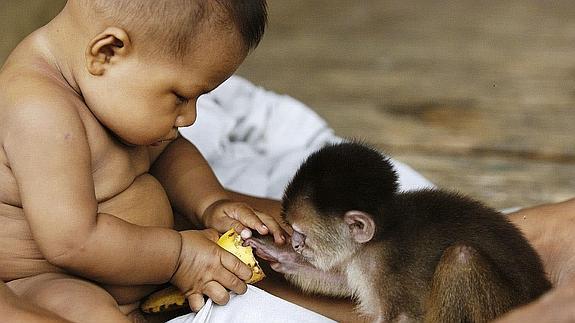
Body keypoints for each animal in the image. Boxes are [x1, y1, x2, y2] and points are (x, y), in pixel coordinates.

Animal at [248, 143, 552, 323]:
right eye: (292, 232)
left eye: (302, 234)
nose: (296, 245)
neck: (378, 238)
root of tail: (544, 289)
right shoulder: (360, 262)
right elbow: (340, 280)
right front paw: (277, 253)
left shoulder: (387, 269)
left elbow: (401, 317)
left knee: (461, 258)